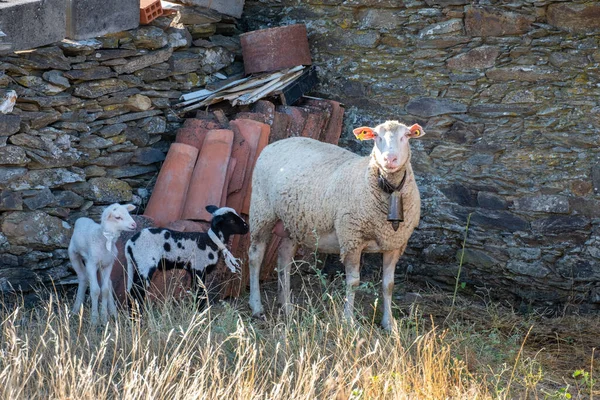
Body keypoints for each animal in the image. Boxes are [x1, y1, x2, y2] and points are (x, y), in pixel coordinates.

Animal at [248, 120, 426, 330]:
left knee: (283, 260)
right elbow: (353, 282)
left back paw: (287, 307)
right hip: (261, 212)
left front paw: (389, 323)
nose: (389, 159)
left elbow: (388, 285)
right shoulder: (351, 238)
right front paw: (348, 320)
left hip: (293, 223)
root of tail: (275, 143)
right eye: (376, 136)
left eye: (406, 136)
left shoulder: (394, 243)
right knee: (255, 256)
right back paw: (256, 306)